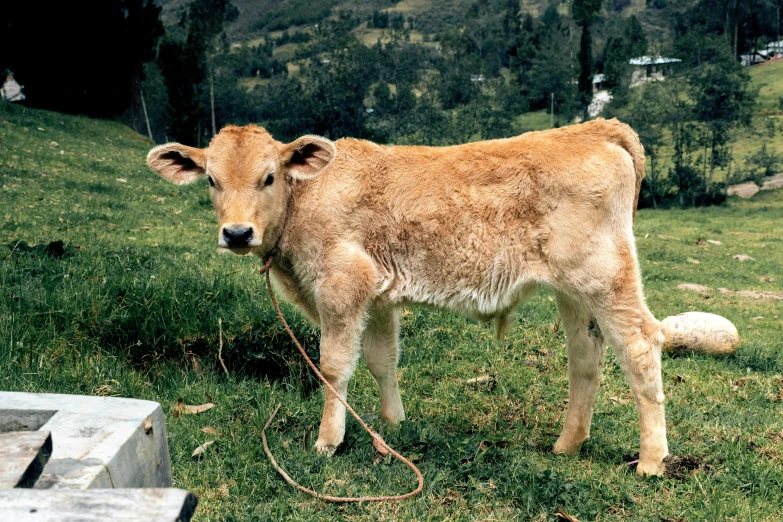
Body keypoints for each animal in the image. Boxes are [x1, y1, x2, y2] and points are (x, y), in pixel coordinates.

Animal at [150, 119, 672, 476]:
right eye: (212, 179)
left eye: (269, 177)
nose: (237, 233)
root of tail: (595, 128)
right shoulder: (379, 295)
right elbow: (383, 360)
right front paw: (393, 425)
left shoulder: (342, 284)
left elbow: (334, 366)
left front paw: (328, 440)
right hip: (574, 290)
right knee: (586, 356)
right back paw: (568, 444)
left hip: (605, 277)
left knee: (641, 346)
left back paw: (651, 459)